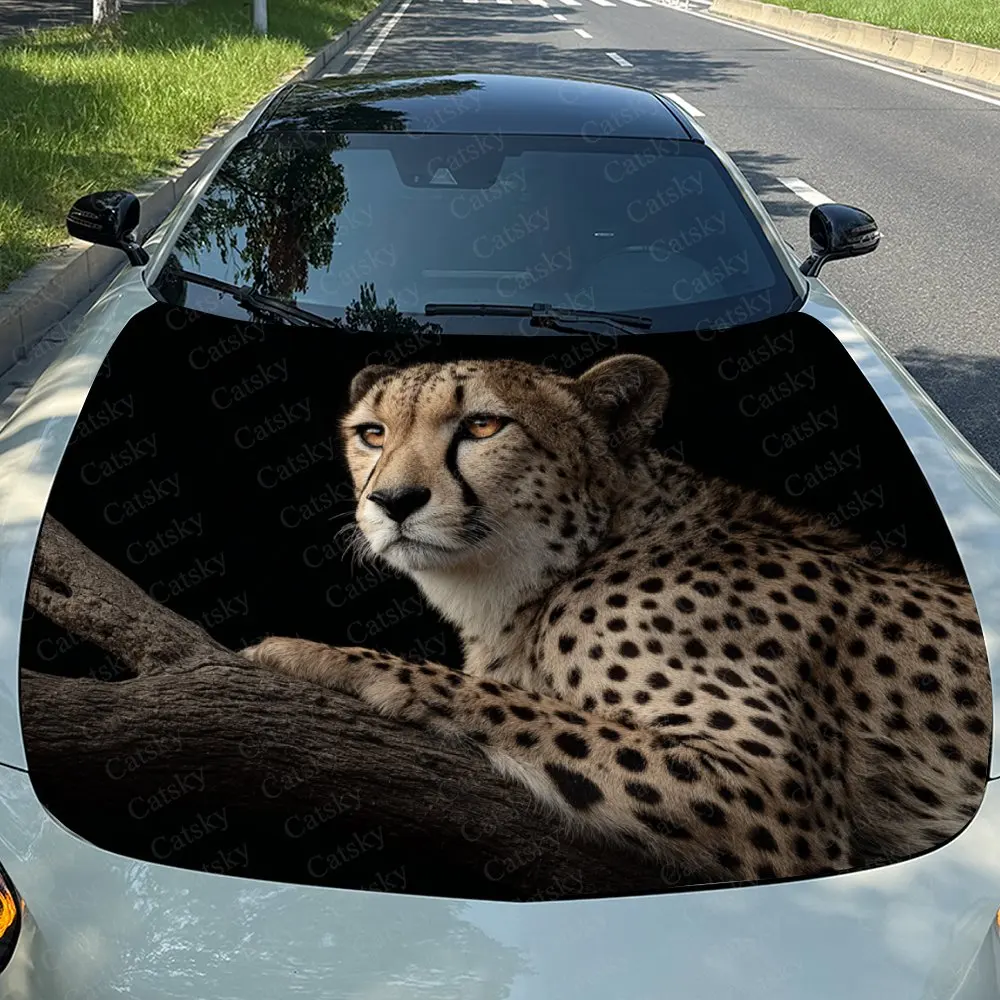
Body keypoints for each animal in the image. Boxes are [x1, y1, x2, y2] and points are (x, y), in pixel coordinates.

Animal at [241, 353, 991, 885]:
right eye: (372, 434)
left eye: (482, 425)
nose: (393, 501)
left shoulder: (777, 796)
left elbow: (515, 704)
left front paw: (316, 654)